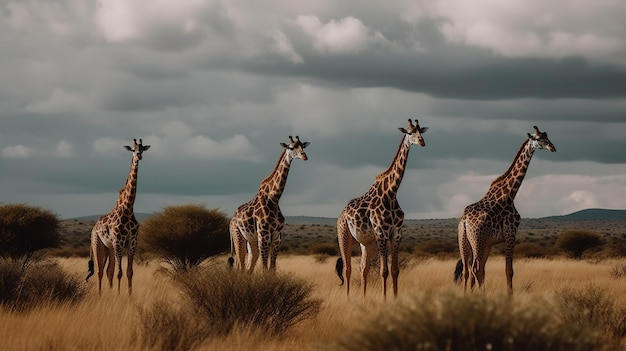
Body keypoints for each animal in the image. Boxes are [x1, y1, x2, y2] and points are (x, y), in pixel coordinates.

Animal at [85, 139, 150, 296]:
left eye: (142, 149)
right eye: (132, 149)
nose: (138, 156)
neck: (128, 209)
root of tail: (94, 227)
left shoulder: (132, 243)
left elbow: (129, 272)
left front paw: (129, 296)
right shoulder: (118, 242)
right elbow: (119, 273)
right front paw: (120, 295)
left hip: (109, 247)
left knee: (109, 271)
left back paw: (108, 293)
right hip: (98, 244)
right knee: (100, 271)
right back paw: (100, 295)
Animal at [228, 136, 308, 274]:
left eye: (303, 146)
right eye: (291, 147)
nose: (304, 156)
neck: (274, 199)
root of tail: (231, 220)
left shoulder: (277, 237)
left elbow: (272, 269)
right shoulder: (264, 236)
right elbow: (265, 268)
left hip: (251, 241)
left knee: (248, 268)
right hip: (238, 236)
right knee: (240, 266)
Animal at [336, 119, 428, 302]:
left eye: (421, 131)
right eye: (409, 132)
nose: (422, 142)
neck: (391, 193)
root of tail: (341, 215)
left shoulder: (396, 233)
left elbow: (395, 270)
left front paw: (395, 298)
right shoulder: (381, 232)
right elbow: (383, 271)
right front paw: (385, 300)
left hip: (366, 243)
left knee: (362, 268)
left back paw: (363, 297)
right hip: (344, 235)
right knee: (347, 268)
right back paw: (348, 298)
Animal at [454, 126, 556, 294]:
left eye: (547, 137)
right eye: (538, 139)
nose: (552, 147)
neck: (510, 194)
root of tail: (465, 221)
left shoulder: (490, 243)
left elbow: (485, 270)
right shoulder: (510, 232)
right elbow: (509, 270)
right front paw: (510, 295)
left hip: (465, 240)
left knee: (468, 270)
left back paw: (466, 295)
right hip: (477, 240)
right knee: (476, 269)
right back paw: (482, 295)